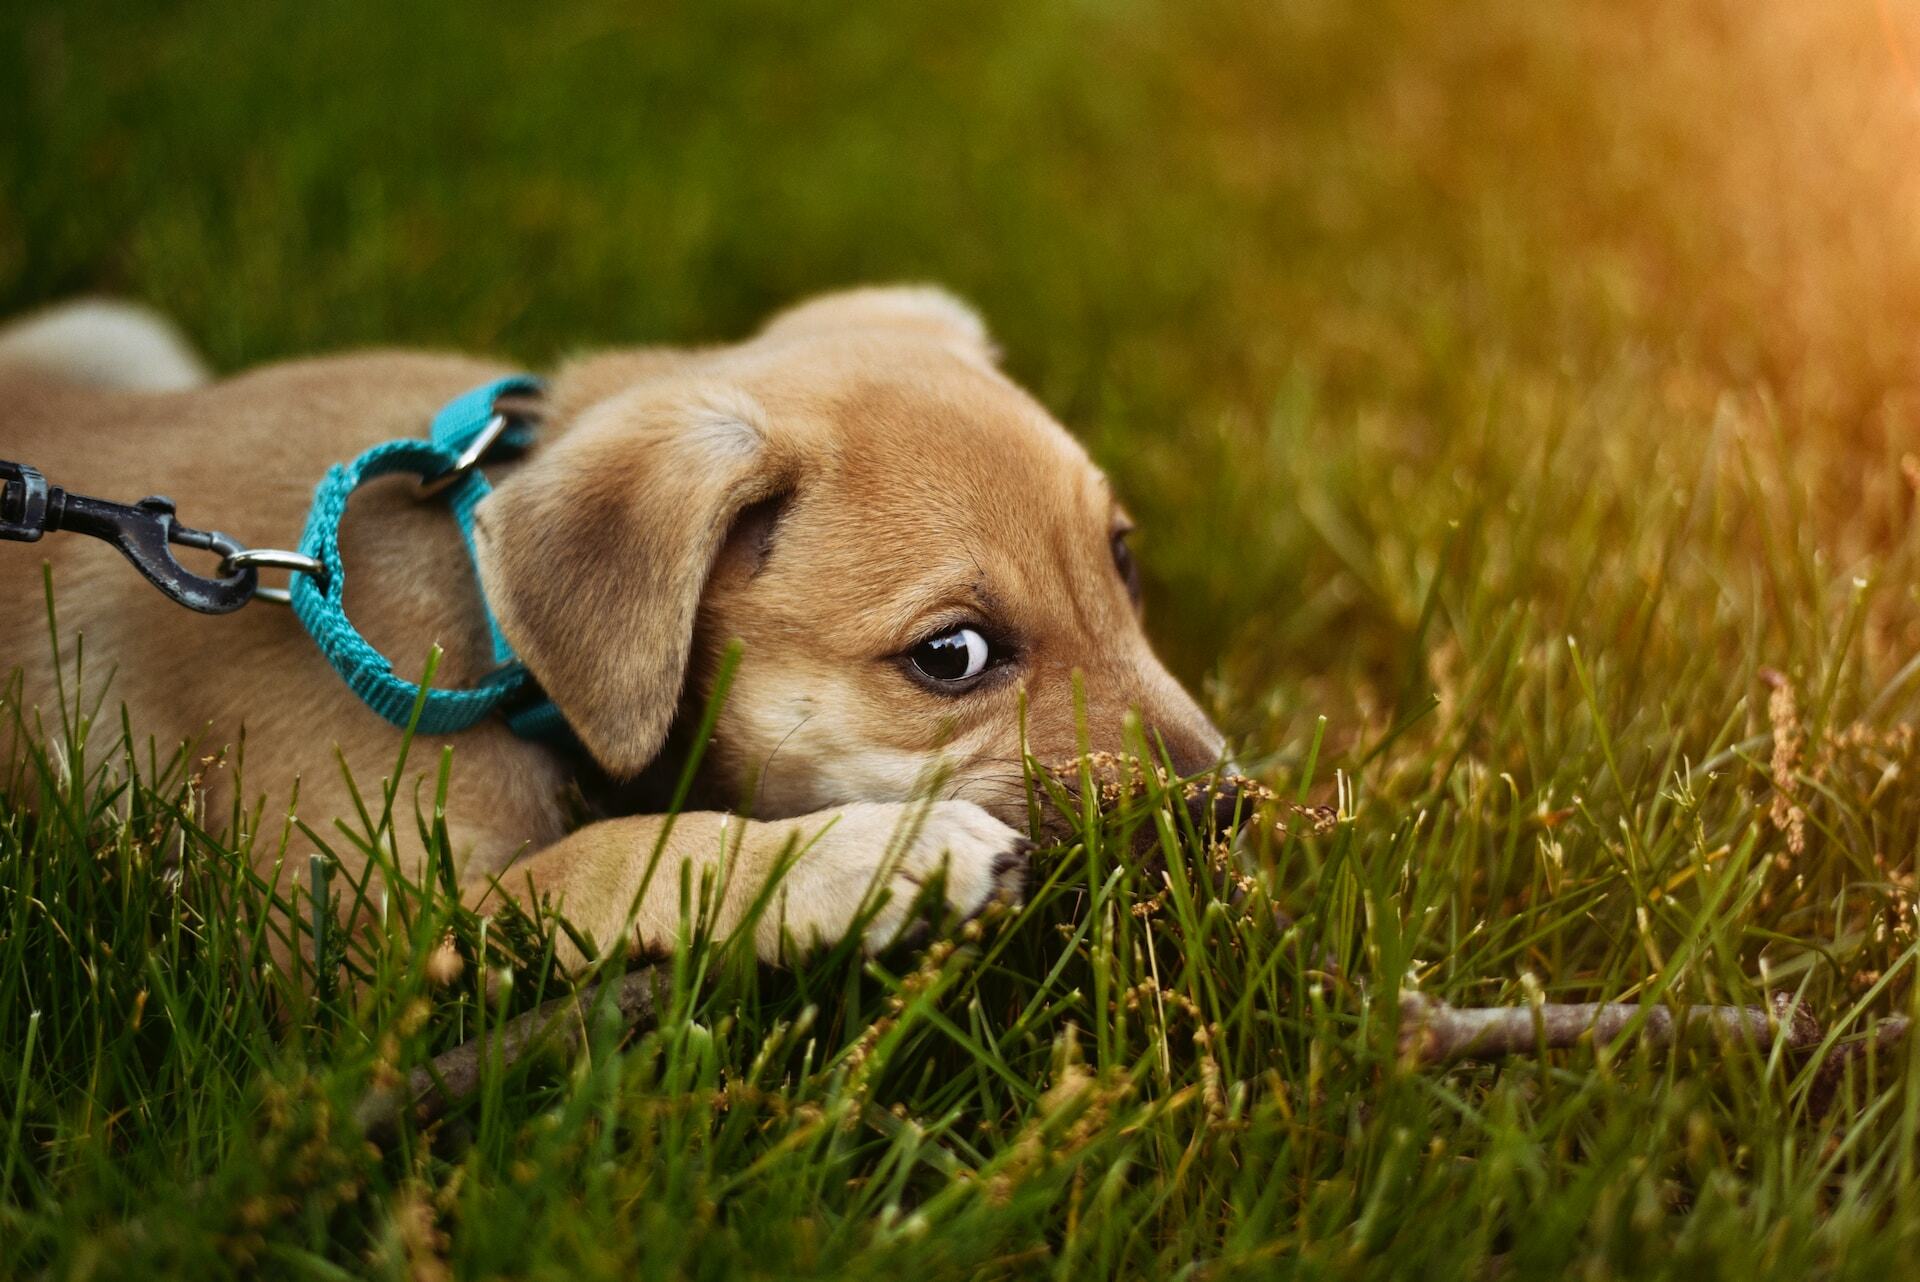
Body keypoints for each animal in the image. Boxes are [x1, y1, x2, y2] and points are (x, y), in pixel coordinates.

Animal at [0, 287, 1228, 959]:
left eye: (1122, 558)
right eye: (953, 655)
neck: (488, 627)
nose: (1224, 812)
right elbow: (617, 857)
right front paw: (874, 858)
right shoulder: (350, 940)